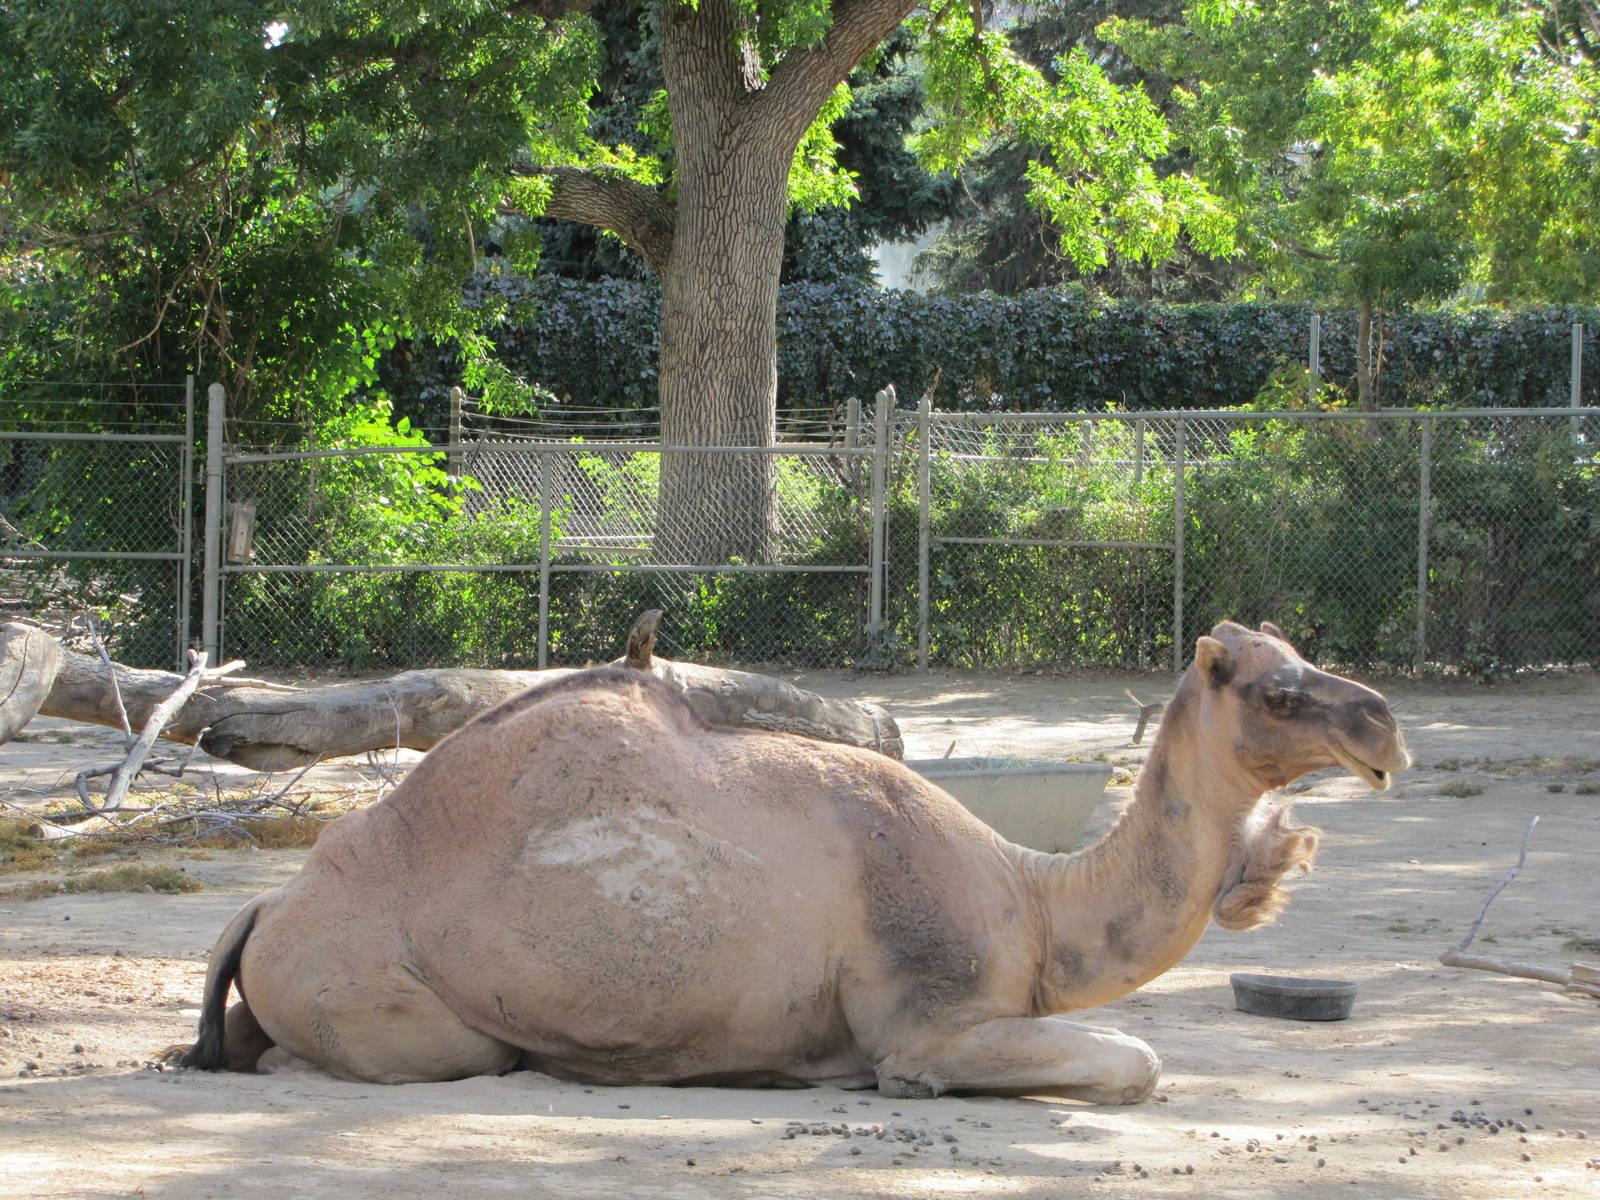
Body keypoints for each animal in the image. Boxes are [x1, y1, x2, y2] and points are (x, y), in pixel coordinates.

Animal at [166, 620, 1409, 1101]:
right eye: (1277, 691)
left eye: (1299, 657)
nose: (1384, 728)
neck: (1030, 897)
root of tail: (267, 907)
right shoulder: (928, 1020)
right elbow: (1135, 1063)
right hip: (397, 1007)